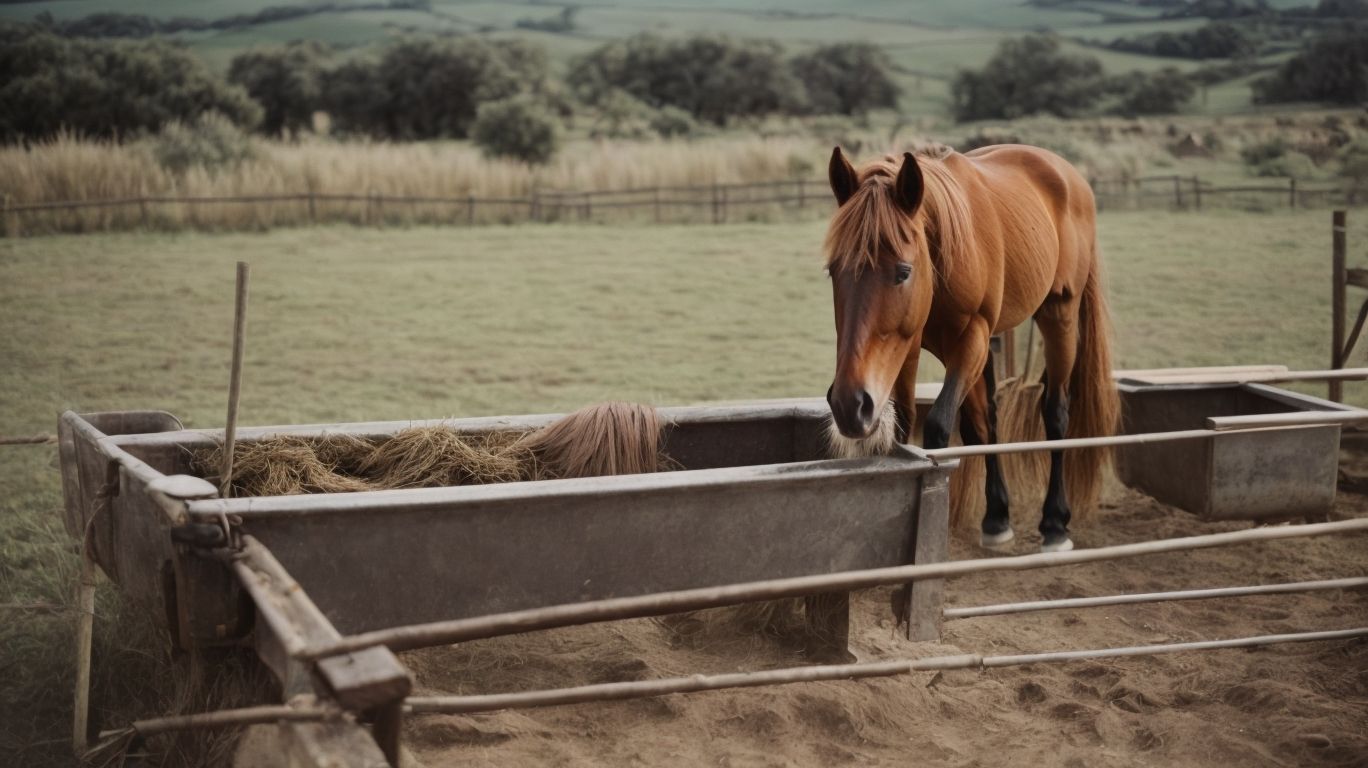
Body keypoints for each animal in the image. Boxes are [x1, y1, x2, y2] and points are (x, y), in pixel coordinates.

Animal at [822, 145, 1119, 553]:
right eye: (833, 270)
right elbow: (920, 426)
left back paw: (1055, 523)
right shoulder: (909, 347)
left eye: (903, 271)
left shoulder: (972, 338)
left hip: (1059, 315)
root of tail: (1067, 172)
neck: (946, 250)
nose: (848, 404)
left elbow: (938, 426)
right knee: (987, 418)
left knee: (1056, 412)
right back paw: (997, 518)